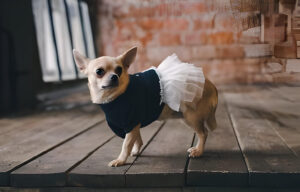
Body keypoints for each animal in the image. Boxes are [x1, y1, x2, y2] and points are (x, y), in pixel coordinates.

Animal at [72, 46, 218, 166]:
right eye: (99, 71)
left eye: (119, 70)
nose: (114, 76)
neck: (116, 97)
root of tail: (211, 85)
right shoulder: (134, 124)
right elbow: (137, 139)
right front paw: (136, 151)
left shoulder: (130, 124)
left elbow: (126, 144)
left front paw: (121, 160)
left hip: (191, 116)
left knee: (203, 133)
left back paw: (198, 151)